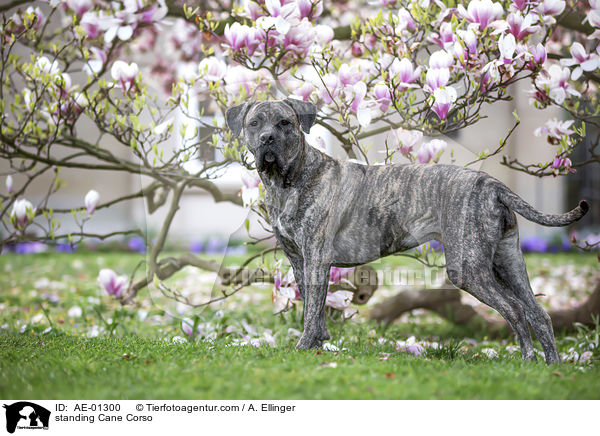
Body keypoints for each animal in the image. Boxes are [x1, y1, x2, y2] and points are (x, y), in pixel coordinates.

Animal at [225, 99, 584, 364]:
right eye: (255, 123)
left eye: (285, 123)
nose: (266, 140)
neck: (289, 179)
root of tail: (492, 183)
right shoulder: (300, 261)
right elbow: (315, 308)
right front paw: (318, 344)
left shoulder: (315, 258)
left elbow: (312, 309)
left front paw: (303, 347)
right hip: (508, 261)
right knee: (539, 313)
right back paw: (550, 367)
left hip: (469, 268)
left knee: (515, 310)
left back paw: (527, 361)